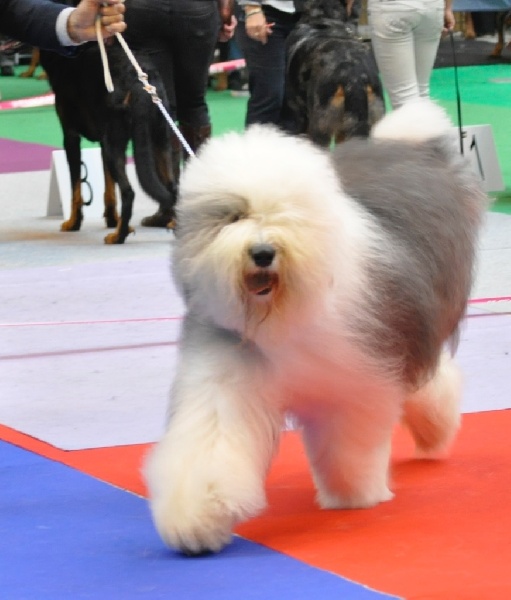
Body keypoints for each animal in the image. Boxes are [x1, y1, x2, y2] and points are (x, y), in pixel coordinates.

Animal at [40, 37, 176, 244]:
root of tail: (137, 81)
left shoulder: (71, 136)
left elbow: (76, 187)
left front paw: (73, 223)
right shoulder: (104, 142)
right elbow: (109, 187)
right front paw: (113, 220)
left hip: (117, 143)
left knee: (128, 192)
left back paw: (118, 237)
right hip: (160, 138)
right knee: (172, 187)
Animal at [144, 99, 487, 555]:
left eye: (285, 214)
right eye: (234, 215)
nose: (262, 253)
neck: (283, 313)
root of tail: (406, 146)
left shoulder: (356, 373)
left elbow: (347, 443)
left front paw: (353, 494)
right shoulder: (226, 371)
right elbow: (211, 441)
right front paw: (197, 517)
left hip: (412, 321)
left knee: (430, 376)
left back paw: (434, 433)